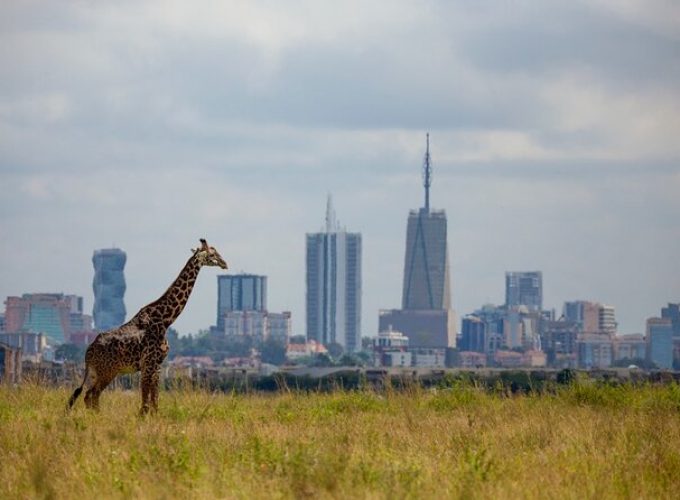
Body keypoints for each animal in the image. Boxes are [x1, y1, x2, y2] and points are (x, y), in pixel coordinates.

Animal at [68, 238, 228, 414]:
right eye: (212, 254)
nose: (225, 263)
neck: (166, 319)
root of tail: (88, 353)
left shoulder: (157, 365)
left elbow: (154, 402)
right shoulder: (148, 363)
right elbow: (145, 403)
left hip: (97, 373)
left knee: (88, 395)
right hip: (107, 371)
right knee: (92, 395)